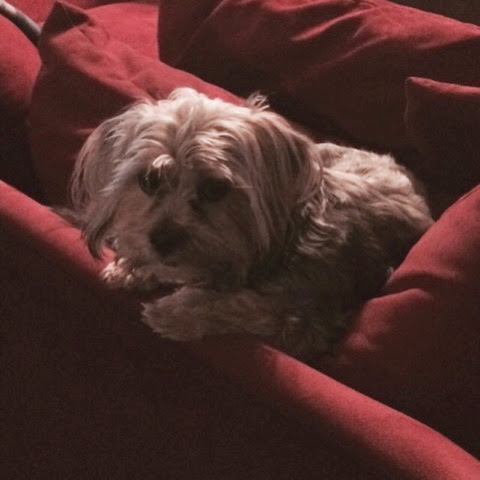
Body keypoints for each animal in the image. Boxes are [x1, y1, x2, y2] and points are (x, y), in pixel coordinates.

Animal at [69, 87, 433, 358]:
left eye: (215, 188)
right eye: (149, 179)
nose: (162, 239)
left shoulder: (307, 318)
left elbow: (244, 305)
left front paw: (179, 310)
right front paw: (133, 266)